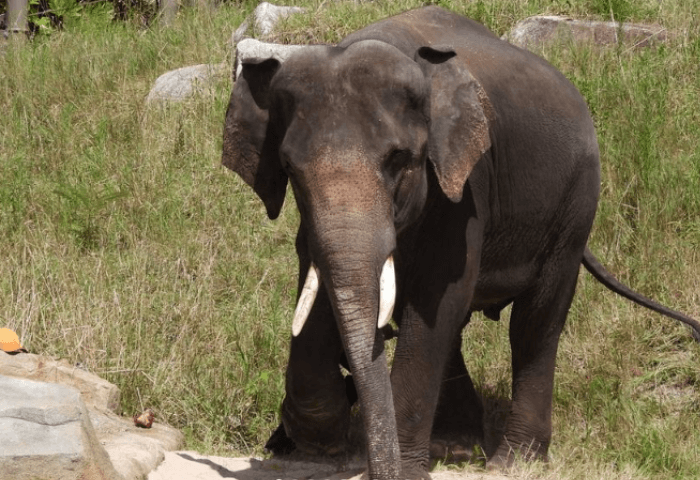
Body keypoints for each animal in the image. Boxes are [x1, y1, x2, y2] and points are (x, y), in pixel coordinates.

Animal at [223, 5, 700, 478]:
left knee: (535, 322)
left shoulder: (466, 184)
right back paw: (456, 449)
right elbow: (319, 287)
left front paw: (399, 468)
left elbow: (440, 296)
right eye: (289, 167)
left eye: (399, 159)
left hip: (576, 204)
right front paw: (319, 443)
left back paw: (514, 461)